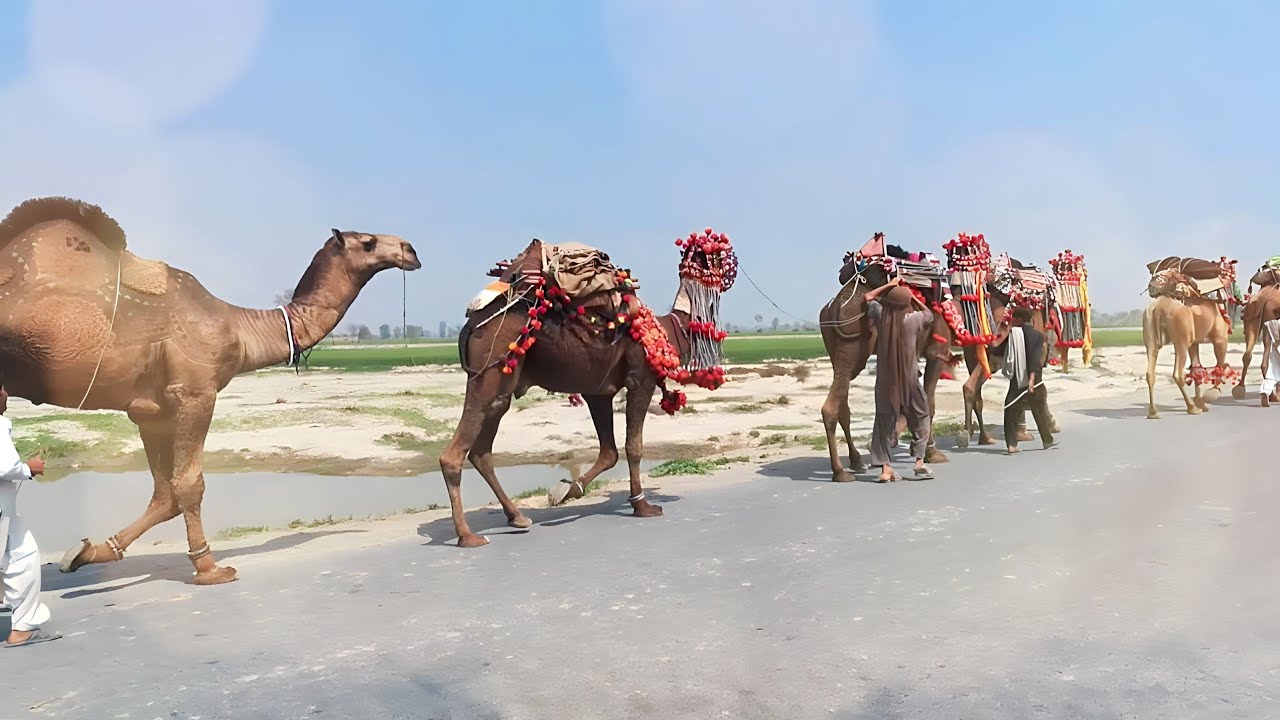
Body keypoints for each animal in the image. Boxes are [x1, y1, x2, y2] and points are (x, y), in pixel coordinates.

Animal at [0, 196, 420, 584]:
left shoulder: (150, 410)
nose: (411, 250)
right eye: (368, 242)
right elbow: (190, 484)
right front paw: (210, 568)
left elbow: (165, 493)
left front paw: (88, 552)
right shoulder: (196, 391)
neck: (238, 326)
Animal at [439, 232, 735, 548]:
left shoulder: (598, 391)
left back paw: (517, 517)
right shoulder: (640, 379)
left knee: (482, 448)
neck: (670, 329)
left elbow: (609, 452)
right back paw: (467, 535)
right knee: (454, 454)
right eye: (717, 252)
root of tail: (470, 325)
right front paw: (643, 506)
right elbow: (633, 447)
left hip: (502, 385)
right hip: (488, 371)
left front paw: (566, 491)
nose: (732, 265)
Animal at [818, 242, 952, 483]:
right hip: (853, 346)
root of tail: (834, 306)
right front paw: (932, 452)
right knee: (831, 407)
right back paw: (840, 471)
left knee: (842, 404)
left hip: (837, 346)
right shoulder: (938, 351)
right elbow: (929, 401)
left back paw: (857, 462)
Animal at [1143, 270, 1231, 418]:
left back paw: (1153, 412)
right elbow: (1219, 364)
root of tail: (1158, 307)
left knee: (1150, 372)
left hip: (1150, 334)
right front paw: (1211, 394)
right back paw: (1192, 408)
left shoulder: (1194, 343)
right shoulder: (1220, 338)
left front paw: (1202, 404)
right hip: (1181, 338)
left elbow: (1197, 370)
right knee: (1177, 374)